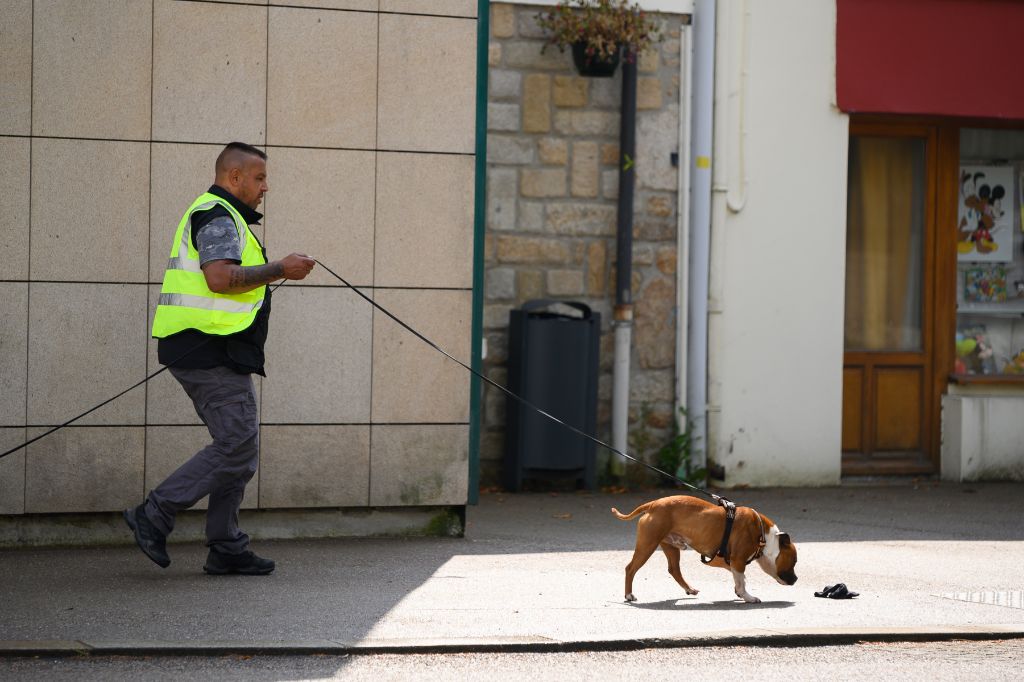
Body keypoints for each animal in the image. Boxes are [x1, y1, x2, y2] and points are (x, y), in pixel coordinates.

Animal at [610, 493, 794, 602]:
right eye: (794, 562)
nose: (796, 579)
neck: (763, 534)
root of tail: (653, 504)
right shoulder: (737, 560)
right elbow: (741, 580)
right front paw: (748, 597)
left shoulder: (729, 562)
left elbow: (740, 578)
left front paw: (739, 591)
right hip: (647, 545)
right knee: (630, 568)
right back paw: (628, 595)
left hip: (670, 547)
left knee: (674, 570)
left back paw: (689, 589)